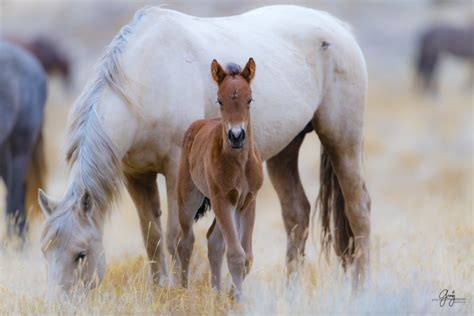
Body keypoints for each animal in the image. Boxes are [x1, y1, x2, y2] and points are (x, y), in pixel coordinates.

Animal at [176, 58, 262, 300]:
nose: (236, 136)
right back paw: (183, 291)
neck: (240, 164)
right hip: (188, 199)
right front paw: (238, 299)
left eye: (249, 100)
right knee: (185, 242)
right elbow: (236, 254)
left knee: (213, 241)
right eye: (220, 101)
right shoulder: (222, 199)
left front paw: (233, 295)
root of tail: (197, 124)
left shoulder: (247, 201)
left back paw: (216, 291)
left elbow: (247, 256)